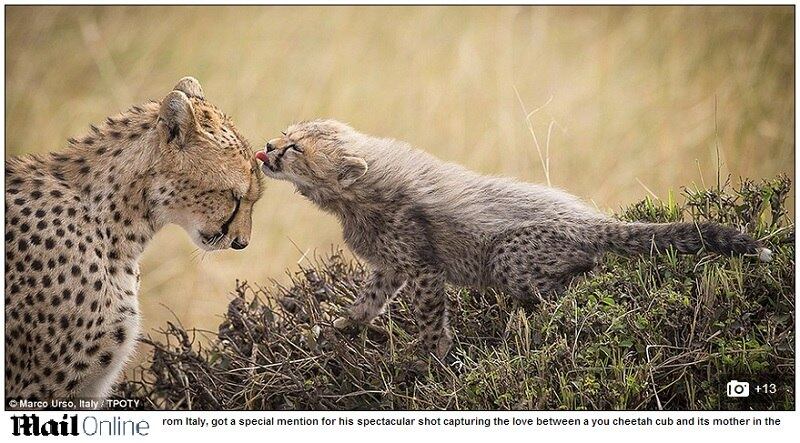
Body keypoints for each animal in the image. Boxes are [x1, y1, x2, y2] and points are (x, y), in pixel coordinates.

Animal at [255, 119, 771, 359]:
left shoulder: (423, 267)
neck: (353, 195)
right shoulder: (391, 266)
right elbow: (369, 300)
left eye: (296, 147)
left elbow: (428, 316)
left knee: (578, 285)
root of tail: (592, 221)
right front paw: (342, 326)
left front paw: (429, 358)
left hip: (510, 255)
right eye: (285, 133)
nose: (267, 147)